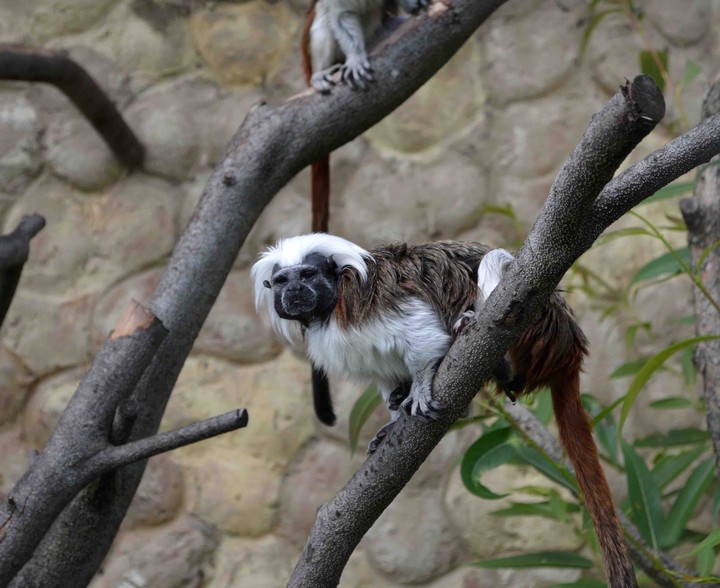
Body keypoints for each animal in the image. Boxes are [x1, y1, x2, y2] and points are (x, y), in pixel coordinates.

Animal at [252, 233, 637, 588]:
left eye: (307, 275)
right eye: (283, 281)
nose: (295, 291)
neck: (330, 307)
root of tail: (569, 348)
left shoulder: (377, 302)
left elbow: (421, 334)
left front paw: (421, 386)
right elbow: (388, 377)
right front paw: (393, 420)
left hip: (535, 323)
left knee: (499, 268)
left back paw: (485, 344)